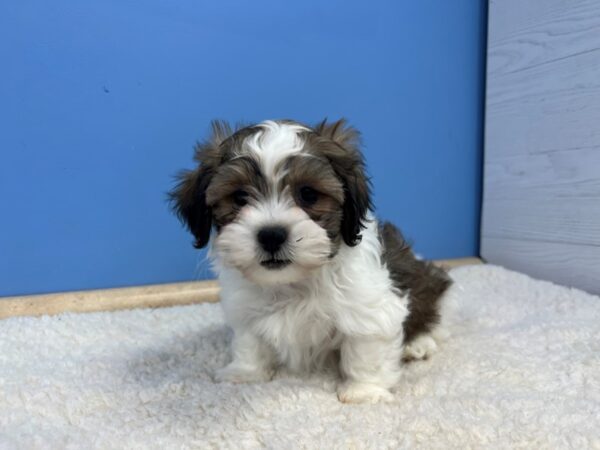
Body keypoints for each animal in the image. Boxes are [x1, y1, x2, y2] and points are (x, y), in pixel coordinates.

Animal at [169, 119, 450, 404]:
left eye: (308, 194)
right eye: (239, 197)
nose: (271, 235)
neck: (293, 282)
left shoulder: (367, 306)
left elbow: (365, 348)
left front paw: (363, 391)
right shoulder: (245, 308)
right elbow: (250, 342)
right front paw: (245, 372)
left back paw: (418, 343)